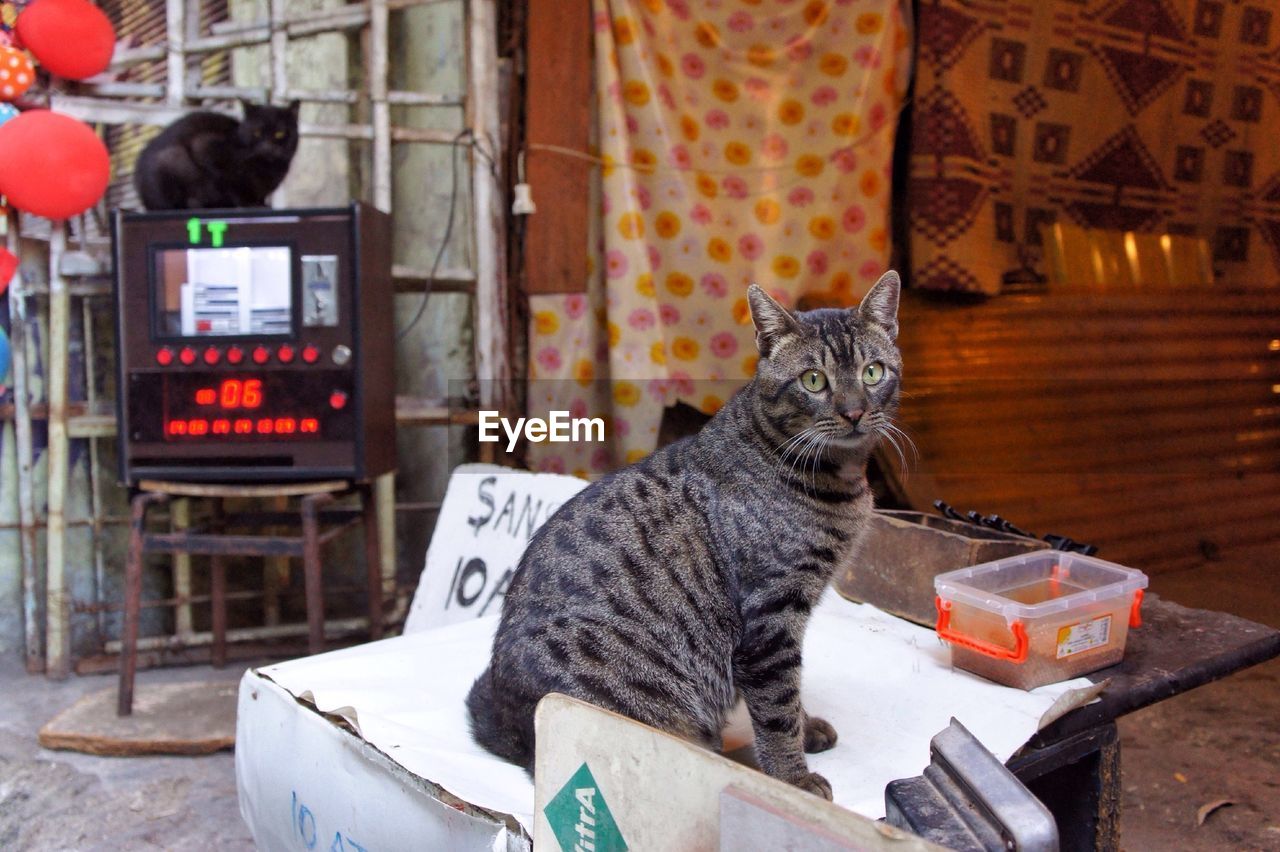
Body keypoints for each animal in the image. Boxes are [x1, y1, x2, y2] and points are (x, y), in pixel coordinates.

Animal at [133, 99, 300, 211]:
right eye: (257, 132)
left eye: (280, 133)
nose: (267, 147)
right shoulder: (204, 146)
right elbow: (230, 183)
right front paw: (250, 203)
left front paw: (261, 203)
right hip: (171, 158)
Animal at [468, 268, 901, 793]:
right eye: (813, 381)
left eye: (872, 372)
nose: (854, 411)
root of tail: (505, 723)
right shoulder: (770, 620)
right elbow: (777, 708)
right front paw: (792, 779)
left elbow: (790, 699)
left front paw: (807, 729)